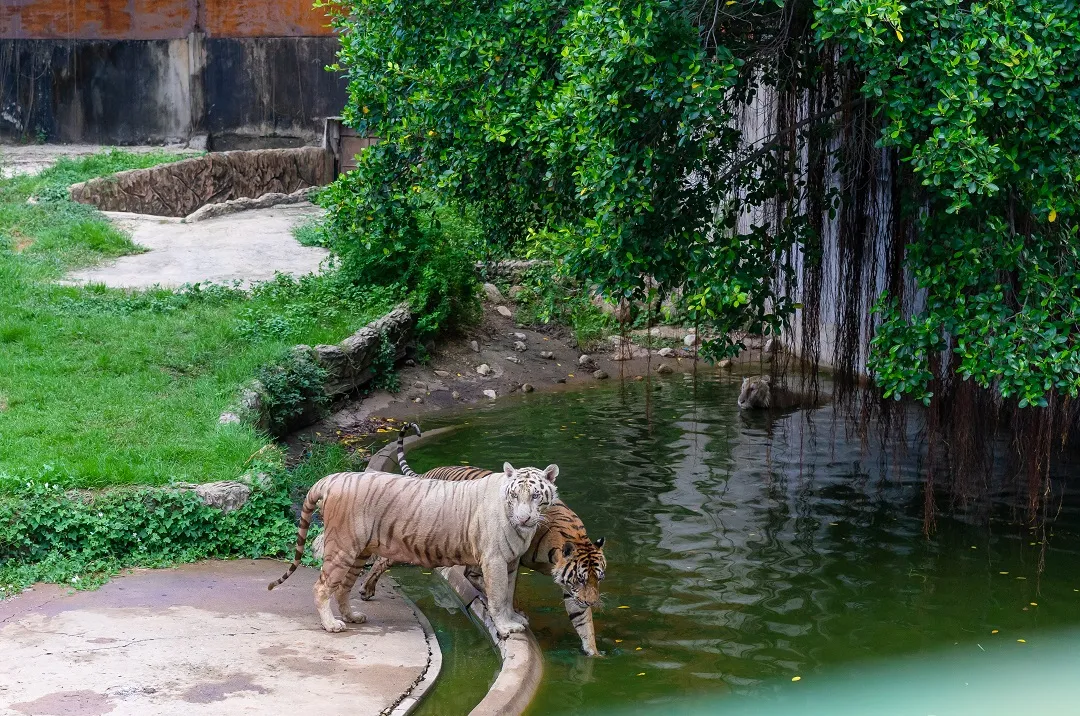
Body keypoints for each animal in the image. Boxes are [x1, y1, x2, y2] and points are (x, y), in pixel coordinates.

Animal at [268, 461, 560, 638]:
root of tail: (332, 478)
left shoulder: (511, 562)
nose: (524, 518)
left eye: (535, 496)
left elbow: (509, 594)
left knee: (343, 587)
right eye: (514, 496)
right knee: (322, 586)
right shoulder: (495, 560)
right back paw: (331, 625)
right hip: (342, 548)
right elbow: (498, 596)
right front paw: (506, 627)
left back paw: (352, 616)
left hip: (359, 552)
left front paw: (515, 618)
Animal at [357, 423, 608, 656]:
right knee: (387, 559)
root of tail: (427, 473)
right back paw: (366, 588)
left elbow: (581, 620)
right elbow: (501, 590)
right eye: (580, 579)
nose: (592, 602)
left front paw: (594, 655)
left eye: (598, 578)